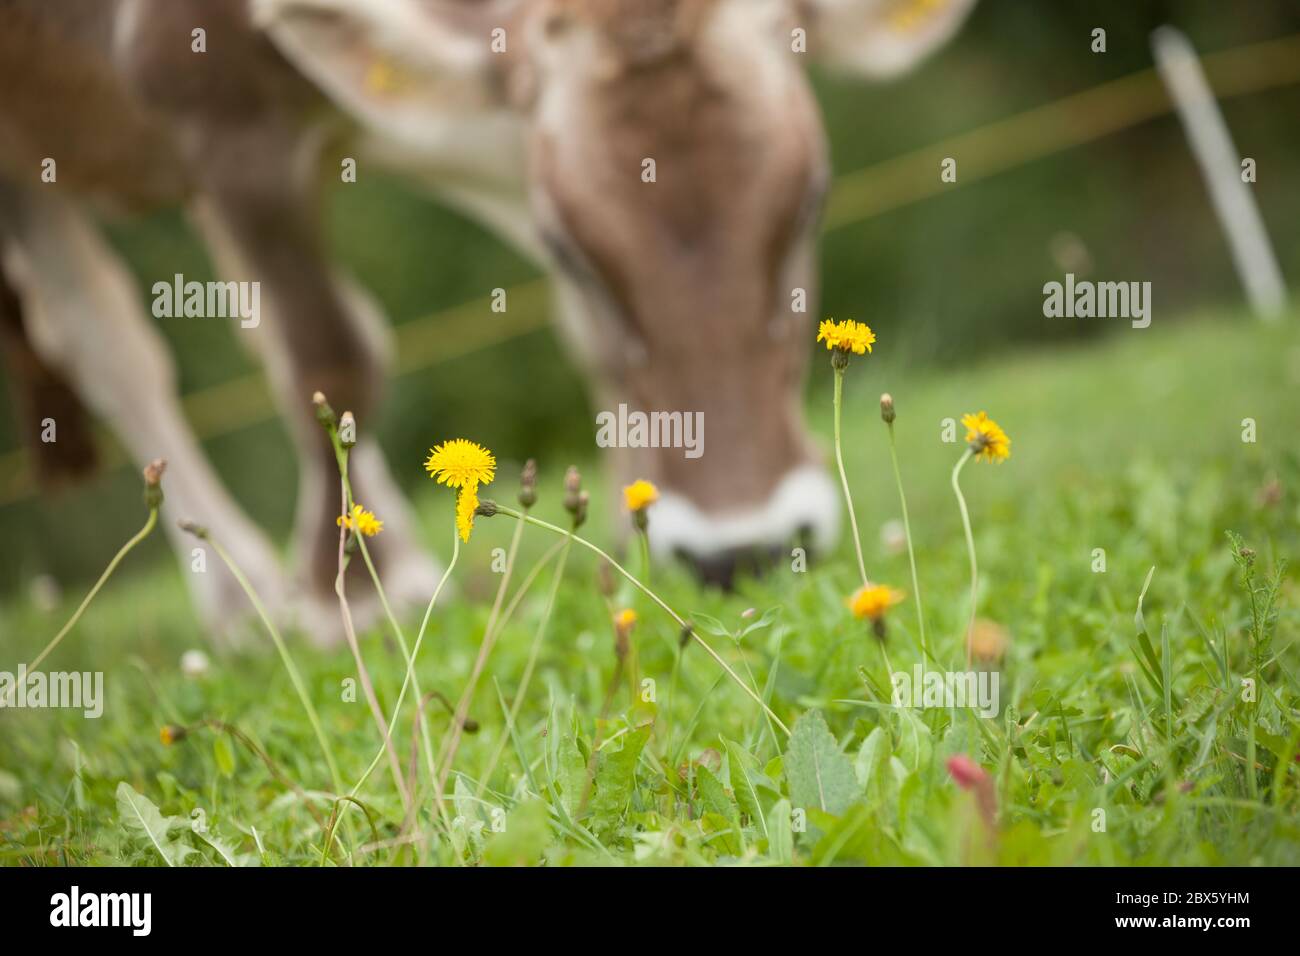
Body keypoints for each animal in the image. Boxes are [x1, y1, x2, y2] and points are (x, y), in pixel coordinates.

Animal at [0, 0, 975, 646]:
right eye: (568, 245)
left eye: (813, 197)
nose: (745, 549)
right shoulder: (223, 120)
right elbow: (326, 347)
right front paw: (351, 594)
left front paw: (624, 529)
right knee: (111, 345)